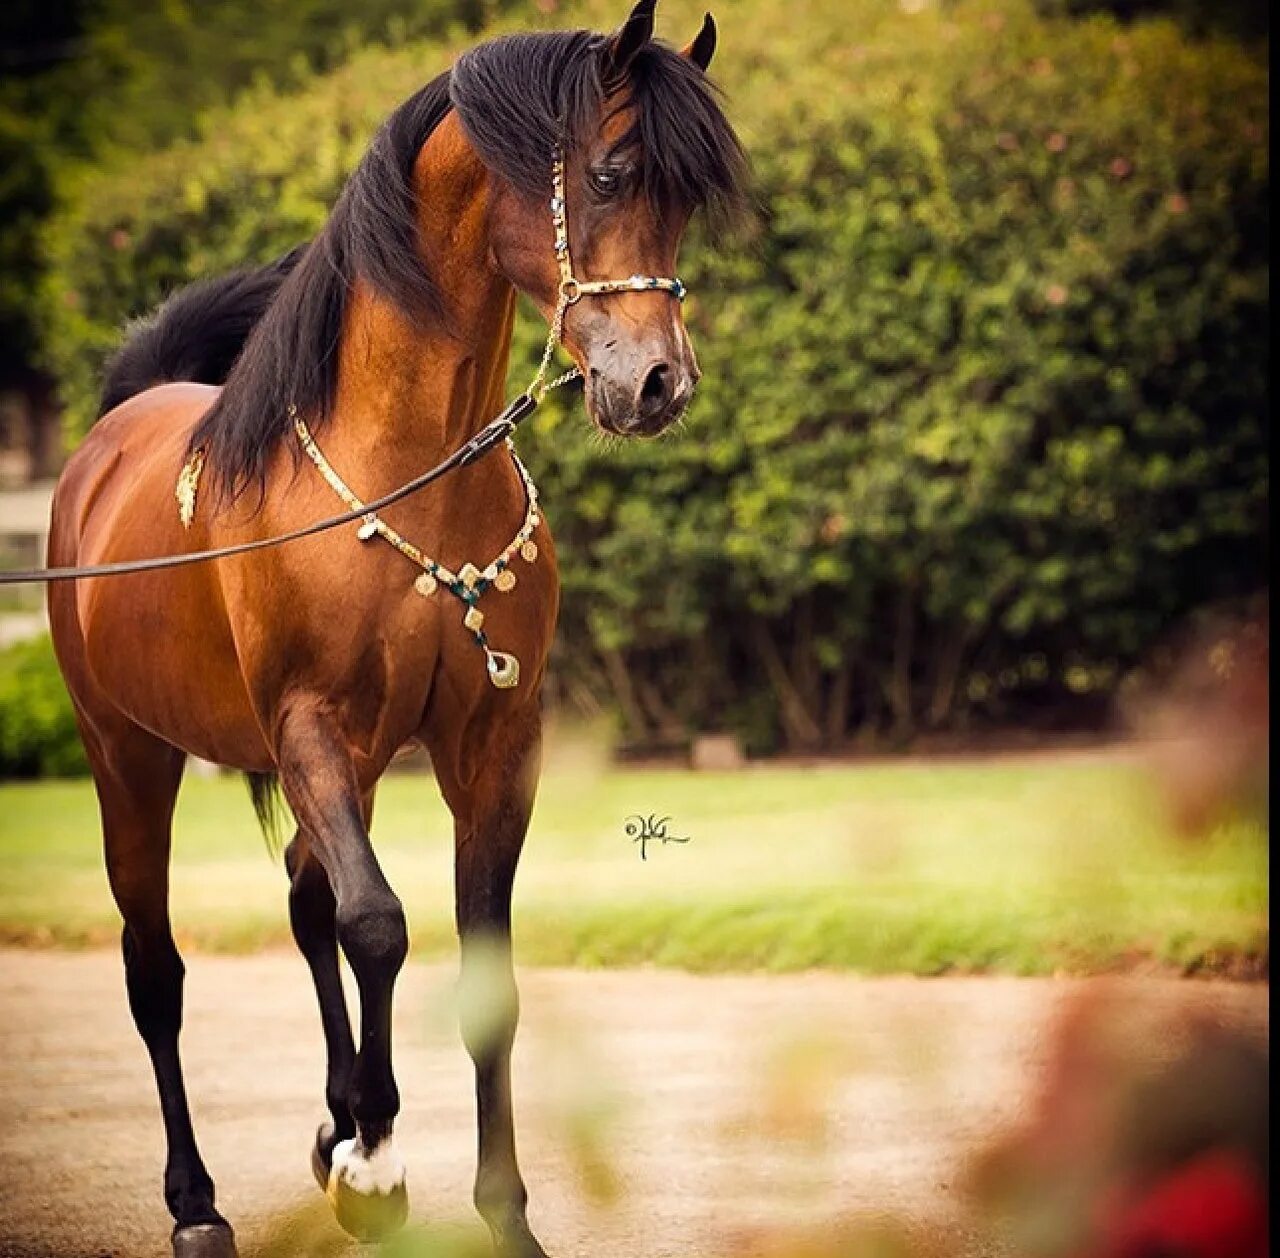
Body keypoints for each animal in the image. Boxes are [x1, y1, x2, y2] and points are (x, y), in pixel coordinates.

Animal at [47, 4, 747, 1254]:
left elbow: (475, 962)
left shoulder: (489, 745)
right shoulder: (311, 728)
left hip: (354, 764)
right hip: (127, 755)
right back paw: (201, 1200)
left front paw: (492, 1207)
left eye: (684, 200)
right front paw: (377, 1167)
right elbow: (376, 923)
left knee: (301, 894)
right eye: (610, 172)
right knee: (156, 967)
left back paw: (331, 1125)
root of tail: (106, 442)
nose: (658, 384)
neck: (406, 475)